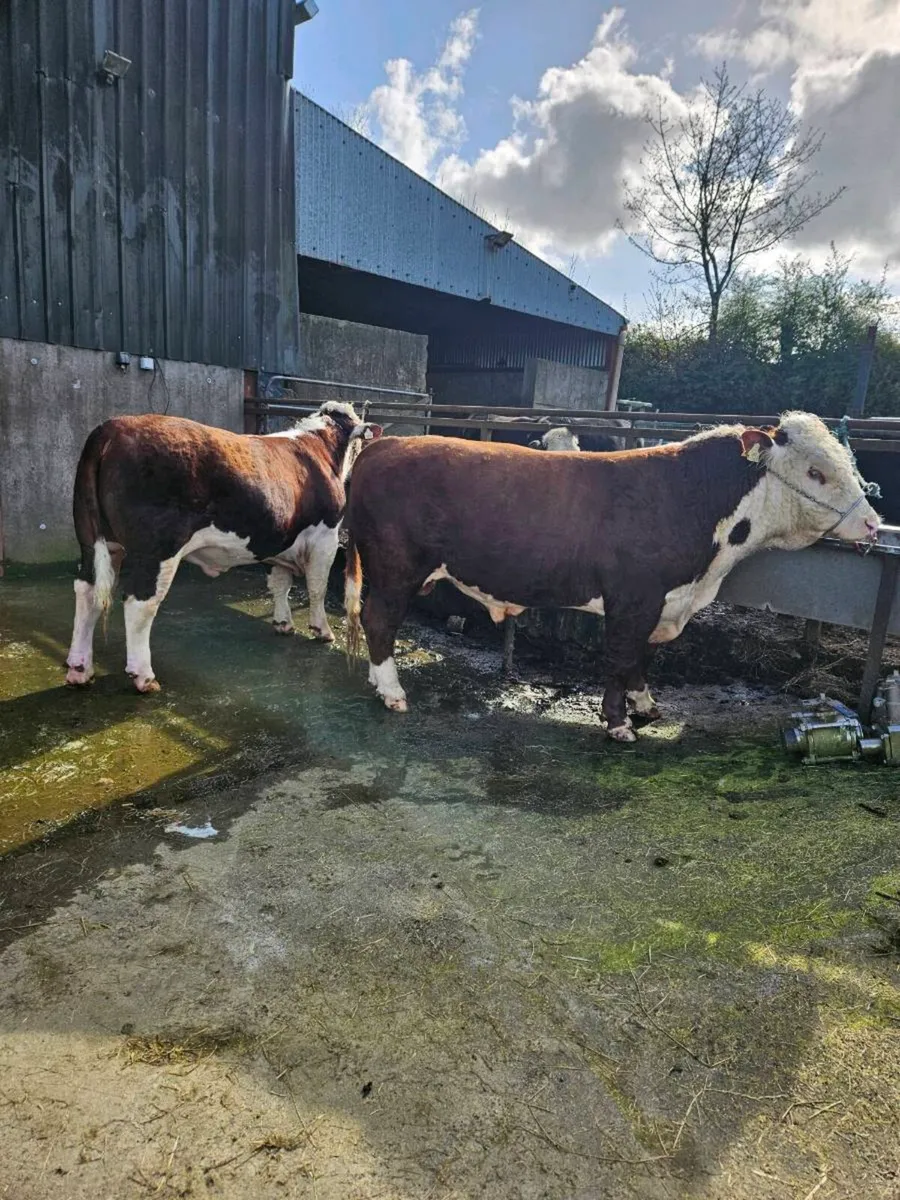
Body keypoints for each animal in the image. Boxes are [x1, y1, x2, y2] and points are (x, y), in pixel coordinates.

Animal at [65, 401, 381, 693]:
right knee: (139, 603)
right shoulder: (326, 535)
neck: (320, 448)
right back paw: (144, 677)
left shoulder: (277, 540)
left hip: (95, 541)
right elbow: (317, 587)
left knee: (87, 591)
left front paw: (283, 623)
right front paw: (321, 630)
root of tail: (114, 425)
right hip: (157, 549)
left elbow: (280, 584)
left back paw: (79, 669)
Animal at [343, 412, 880, 741]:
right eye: (816, 472)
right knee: (379, 620)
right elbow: (621, 656)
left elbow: (643, 657)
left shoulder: (663, 602)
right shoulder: (634, 597)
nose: (873, 523)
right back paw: (392, 691)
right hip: (395, 567)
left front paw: (647, 705)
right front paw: (619, 722)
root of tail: (388, 443)